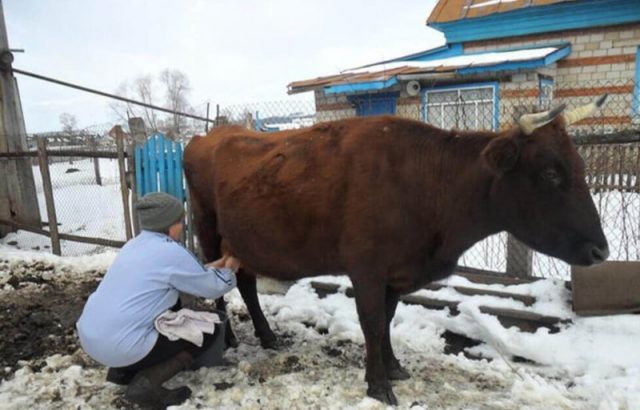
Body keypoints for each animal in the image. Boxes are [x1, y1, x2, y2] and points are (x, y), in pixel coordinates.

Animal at [184, 95, 608, 404]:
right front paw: (378, 385)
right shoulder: (367, 269)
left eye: (581, 168)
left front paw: (393, 367)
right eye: (550, 173)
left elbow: (387, 320)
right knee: (218, 281)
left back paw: (267, 335)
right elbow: (372, 323)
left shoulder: (397, 272)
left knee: (244, 282)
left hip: (241, 241)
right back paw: (232, 337)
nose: (601, 252)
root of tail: (207, 136)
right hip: (207, 227)